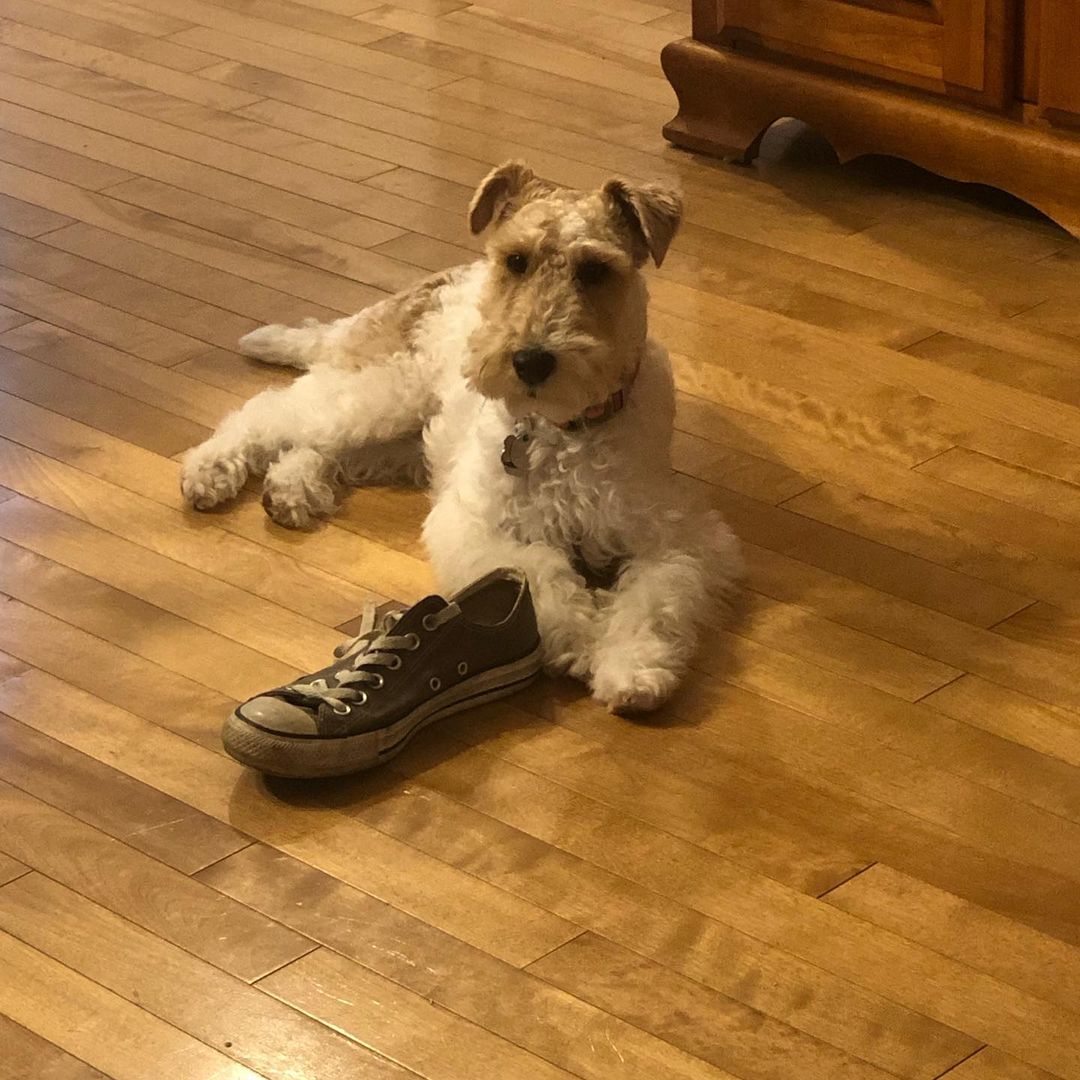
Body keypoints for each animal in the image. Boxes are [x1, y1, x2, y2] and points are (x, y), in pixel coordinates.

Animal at [183, 159, 743, 712]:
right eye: (516, 260)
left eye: (594, 270)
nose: (531, 360)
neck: (565, 429)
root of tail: (435, 280)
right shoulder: (476, 525)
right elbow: (543, 574)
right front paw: (580, 642)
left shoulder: (675, 538)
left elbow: (654, 602)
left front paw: (632, 670)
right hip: (386, 393)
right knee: (269, 412)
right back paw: (209, 473)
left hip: (404, 438)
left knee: (316, 447)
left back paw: (291, 492)